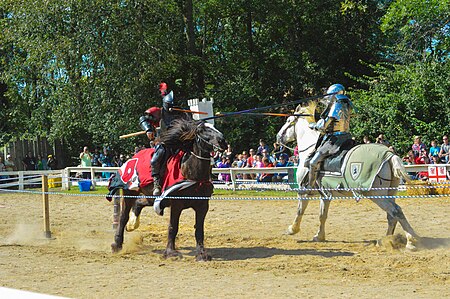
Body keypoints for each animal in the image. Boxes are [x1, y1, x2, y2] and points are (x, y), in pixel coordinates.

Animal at [109, 120, 229, 262]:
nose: (222, 141)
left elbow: (199, 229)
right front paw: (170, 252)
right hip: (130, 192)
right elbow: (173, 227)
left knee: (139, 203)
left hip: (152, 197)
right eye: (202, 130)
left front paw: (201, 253)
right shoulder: (176, 205)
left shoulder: (202, 205)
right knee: (123, 217)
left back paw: (133, 223)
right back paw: (117, 244)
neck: (192, 174)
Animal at [276, 101, 420, 251]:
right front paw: (319, 236)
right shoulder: (325, 194)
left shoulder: (304, 192)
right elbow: (322, 215)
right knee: (392, 215)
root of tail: (390, 155)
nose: (278, 137)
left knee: (395, 211)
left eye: (288, 121)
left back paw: (410, 241)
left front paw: (292, 229)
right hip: (390, 192)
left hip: (375, 194)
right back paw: (387, 240)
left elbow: (300, 211)